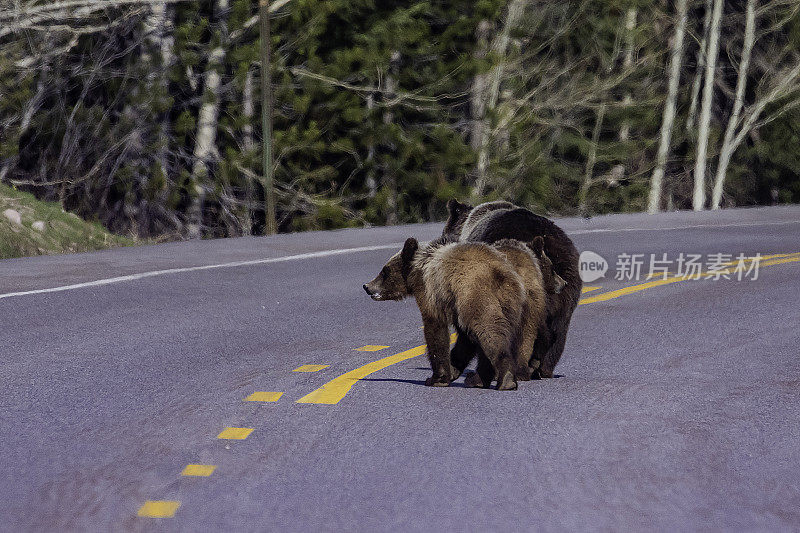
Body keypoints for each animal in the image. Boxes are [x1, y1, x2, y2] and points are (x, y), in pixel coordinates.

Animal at [362, 235, 556, 388]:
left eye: (384, 271)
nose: (367, 286)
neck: (419, 269)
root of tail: (502, 274)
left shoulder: (433, 293)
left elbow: (435, 329)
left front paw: (436, 378)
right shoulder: (455, 304)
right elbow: (463, 340)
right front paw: (452, 369)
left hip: (478, 296)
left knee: (489, 333)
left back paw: (504, 379)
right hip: (511, 303)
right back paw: (479, 379)